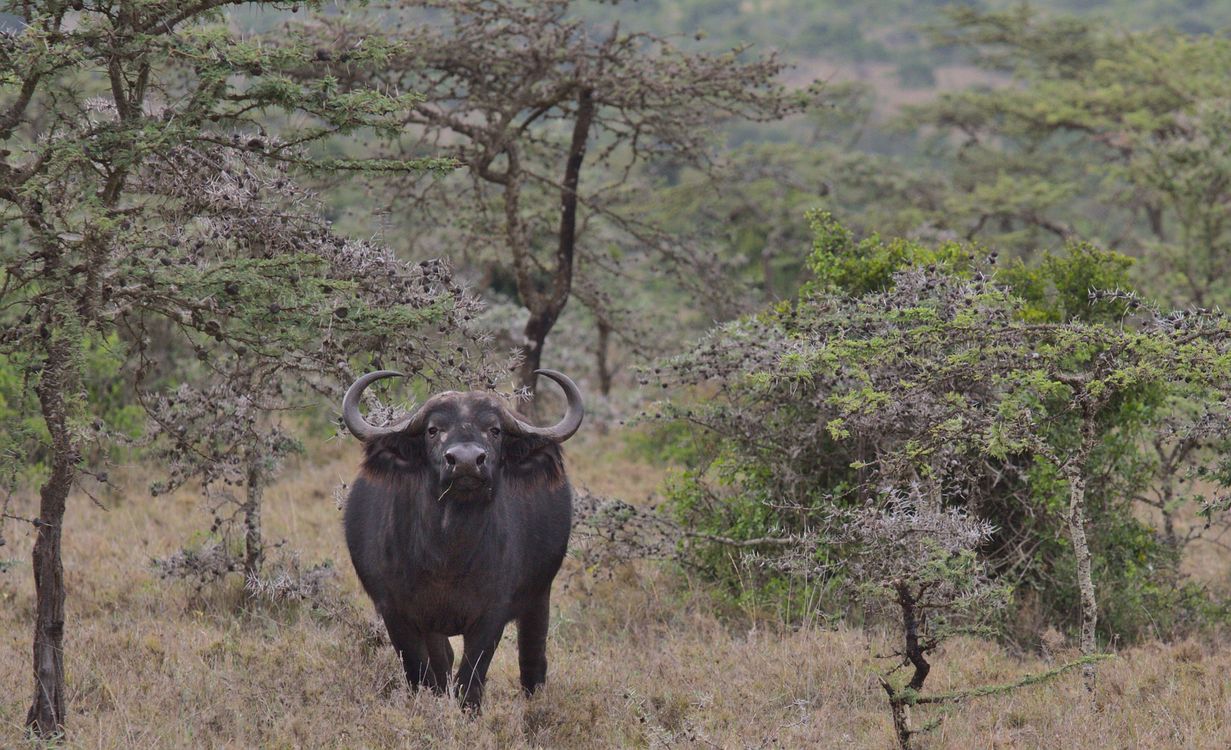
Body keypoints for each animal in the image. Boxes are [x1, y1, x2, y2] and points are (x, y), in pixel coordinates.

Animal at [340, 369, 582, 709]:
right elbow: (421, 674)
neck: (447, 553)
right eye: (433, 430)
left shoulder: (491, 616)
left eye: (494, 429)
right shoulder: (397, 614)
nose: (466, 461)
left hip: (539, 595)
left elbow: (471, 680)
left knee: (532, 658)